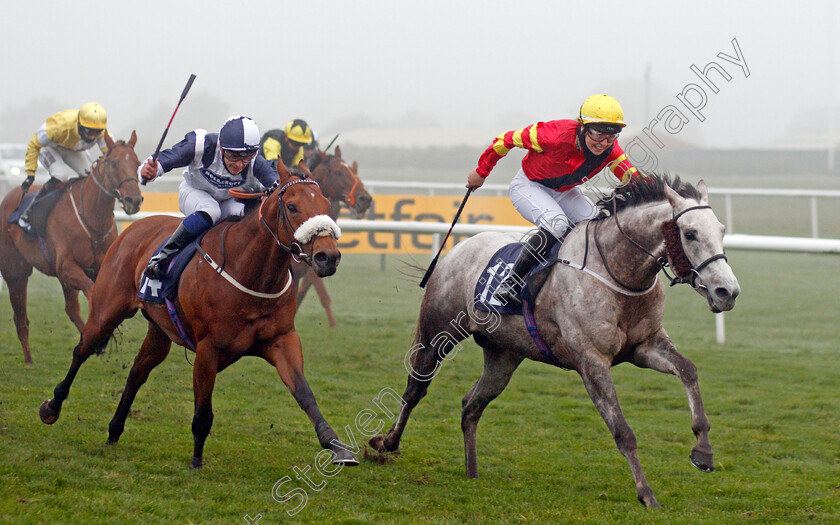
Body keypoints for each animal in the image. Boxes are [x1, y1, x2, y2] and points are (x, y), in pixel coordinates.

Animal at [0, 131, 143, 362]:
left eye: (138, 163)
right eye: (113, 163)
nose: (134, 200)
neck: (92, 218)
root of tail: (9, 197)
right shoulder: (66, 266)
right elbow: (92, 291)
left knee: (70, 308)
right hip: (16, 271)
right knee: (20, 317)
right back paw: (29, 360)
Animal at [37, 159, 360, 466]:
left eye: (326, 205)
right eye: (292, 206)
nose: (328, 257)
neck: (250, 271)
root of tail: (134, 229)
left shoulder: (282, 339)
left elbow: (304, 393)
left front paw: (335, 445)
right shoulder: (208, 348)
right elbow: (203, 410)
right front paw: (196, 460)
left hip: (159, 332)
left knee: (137, 373)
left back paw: (114, 430)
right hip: (107, 310)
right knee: (82, 349)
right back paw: (52, 407)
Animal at [370, 174, 740, 506]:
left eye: (722, 231)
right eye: (690, 234)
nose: (728, 291)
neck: (617, 271)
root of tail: (458, 247)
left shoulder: (644, 346)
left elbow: (688, 370)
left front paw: (703, 452)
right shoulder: (591, 361)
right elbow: (623, 432)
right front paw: (646, 493)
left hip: (503, 355)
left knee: (471, 404)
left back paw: (471, 470)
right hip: (438, 334)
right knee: (415, 389)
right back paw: (387, 443)